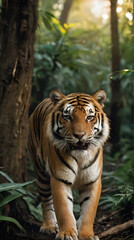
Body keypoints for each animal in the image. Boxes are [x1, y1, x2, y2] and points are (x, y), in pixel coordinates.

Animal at [28, 89, 110, 240]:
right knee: (45, 200)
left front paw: (87, 235)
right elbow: (64, 210)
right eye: (68, 117)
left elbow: (89, 212)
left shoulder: (92, 181)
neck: (80, 157)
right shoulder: (60, 179)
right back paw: (49, 226)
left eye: (89, 117)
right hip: (40, 171)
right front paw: (66, 234)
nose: (79, 135)